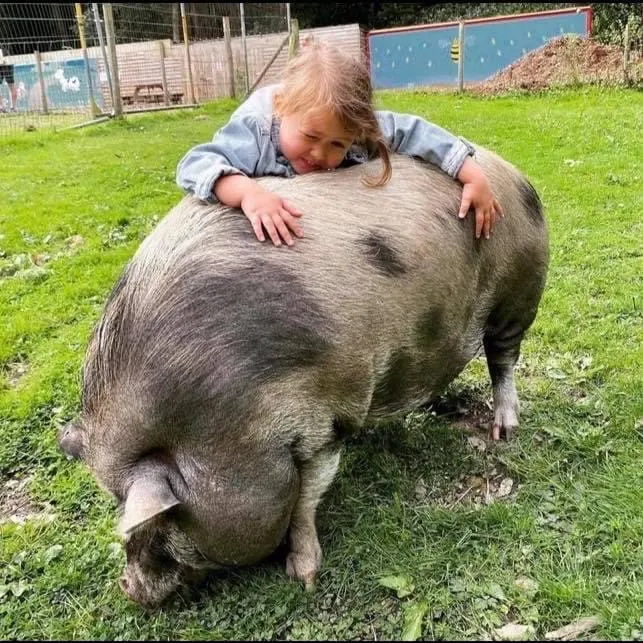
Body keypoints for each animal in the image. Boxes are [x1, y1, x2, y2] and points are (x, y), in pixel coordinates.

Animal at [59, 149, 548, 607]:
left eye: (162, 519)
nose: (128, 589)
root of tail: (511, 169)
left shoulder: (325, 416)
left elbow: (305, 498)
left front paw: (304, 577)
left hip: (520, 292)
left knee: (502, 359)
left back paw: (505, 430)